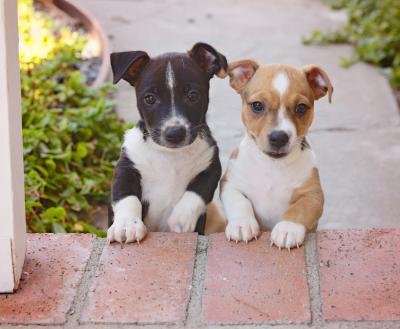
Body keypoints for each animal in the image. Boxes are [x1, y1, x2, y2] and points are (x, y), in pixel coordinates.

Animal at [106, 42, 227, 242]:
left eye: (193, 95)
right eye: (150, 98)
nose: (175, 133)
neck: (170, 156)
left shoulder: (211, 166)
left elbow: (199, 190)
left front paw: (182, 217)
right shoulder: (126, 168)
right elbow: (126, 197)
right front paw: (126, 225)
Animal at [220, 59, 332, 249]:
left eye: (301, 108)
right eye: (257, 105)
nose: (279, 137)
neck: (272, 165)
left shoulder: (314, 195)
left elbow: (299, 209)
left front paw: (288, 229)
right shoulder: (230, 184)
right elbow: (239, 201)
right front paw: (242, 224)